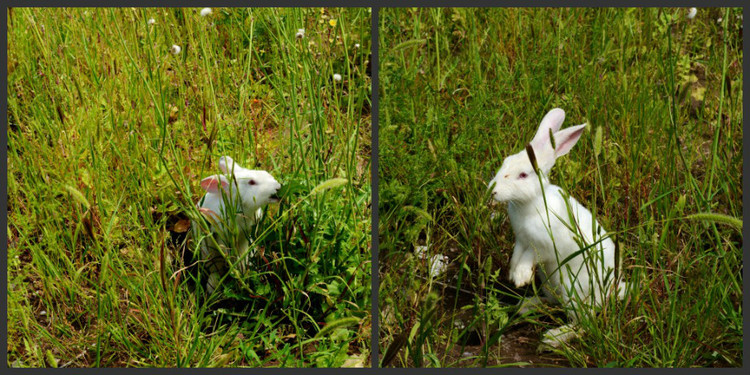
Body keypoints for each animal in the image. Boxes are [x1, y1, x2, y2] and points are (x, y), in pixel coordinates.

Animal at [488, 108, 628, 350]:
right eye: (505, 162)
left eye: (523, 175)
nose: (493, 190)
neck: (531, 203)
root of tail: (612, 291)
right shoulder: (521, 240)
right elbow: (517, 255)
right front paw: (513, 273)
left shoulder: (544, 246)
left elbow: (530, 257)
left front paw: (521, 277)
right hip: (549, 282)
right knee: (553, 303)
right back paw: (525, 305)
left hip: (573, 291)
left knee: (583, 324)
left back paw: (554, 337)